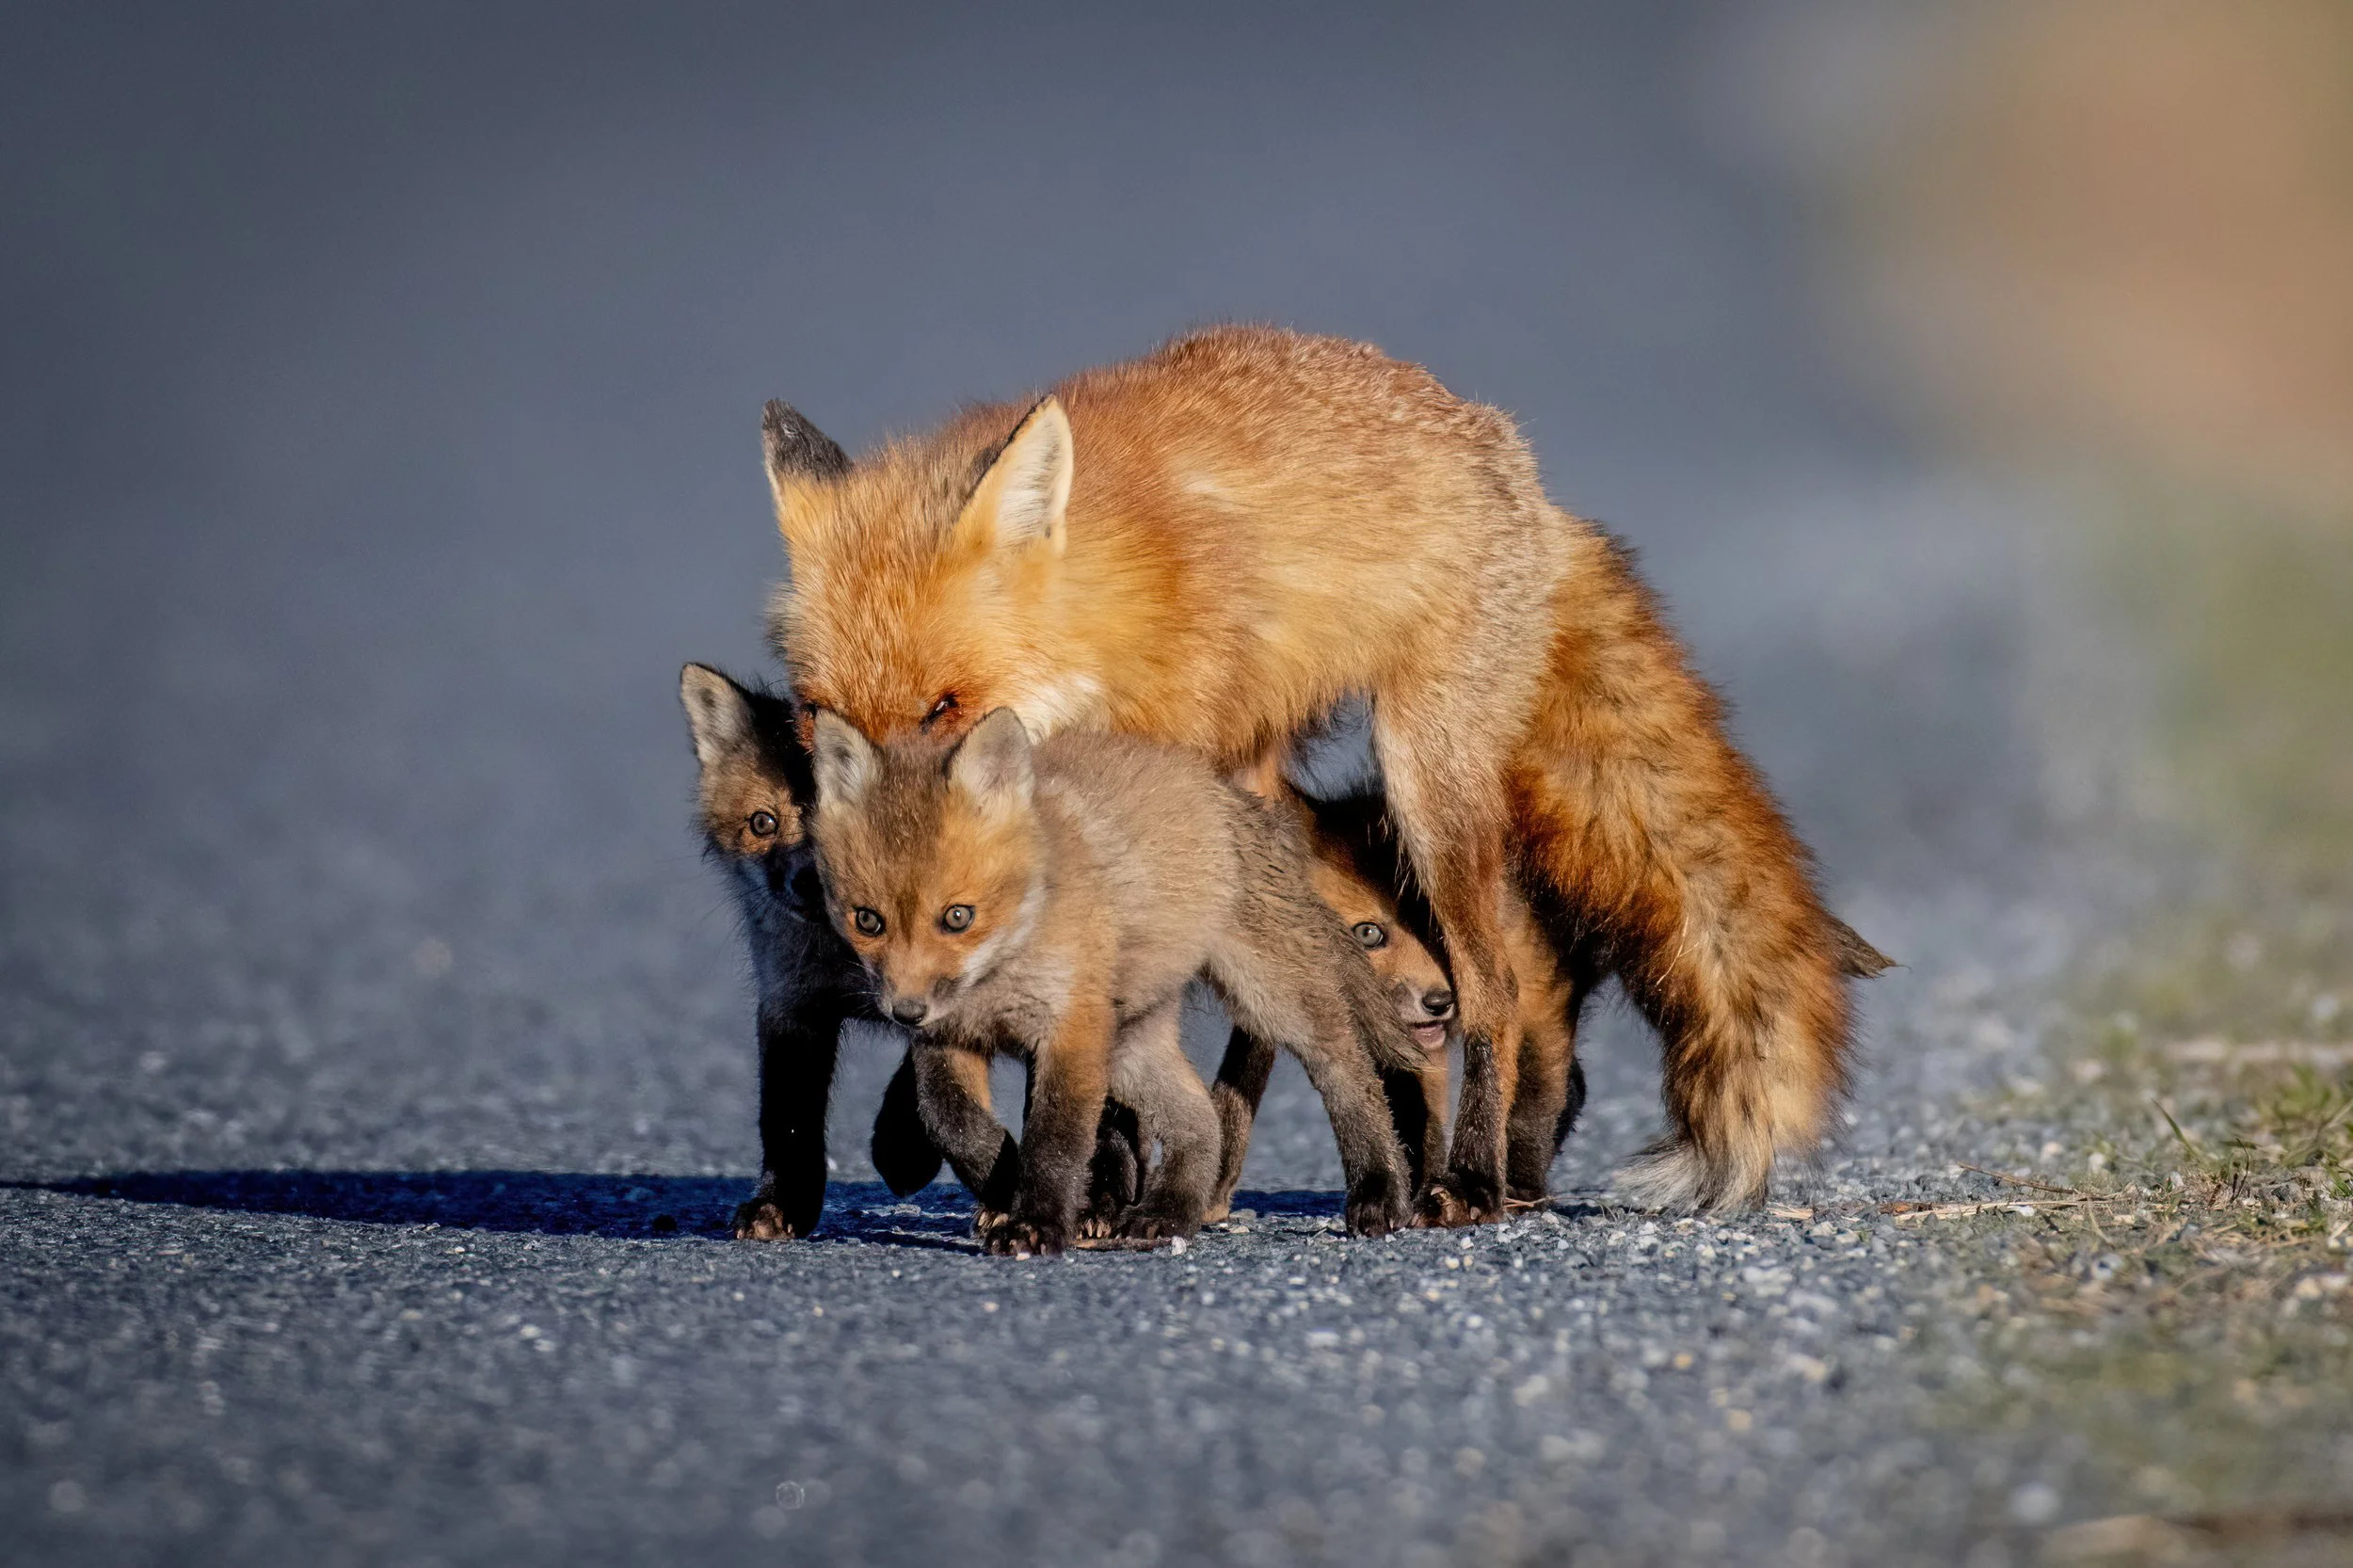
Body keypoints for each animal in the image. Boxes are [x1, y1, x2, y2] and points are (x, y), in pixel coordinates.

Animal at [679, 663, 1143, 1239]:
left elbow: (947, 1107)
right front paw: (781, 1203)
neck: (844, 964)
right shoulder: (792, 1004)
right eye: (763, 822)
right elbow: (787, 1121)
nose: (812, 881)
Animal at [804, 706, 1419, 1254]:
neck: (1004, 970)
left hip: (1269, 999)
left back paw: (1379, 1190)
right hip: (1130, 1043)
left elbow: (1056, 1137)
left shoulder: (1072, 1030)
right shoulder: (948, 1037)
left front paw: (1037, 1222)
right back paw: (1169, 1212)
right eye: (867, 920)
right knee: (1200, 1119)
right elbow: (950, 1119)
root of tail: (1222, 790)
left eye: (957, 916)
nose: (904, 1012)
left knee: (1348, 1073)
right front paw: (1006, 1190)